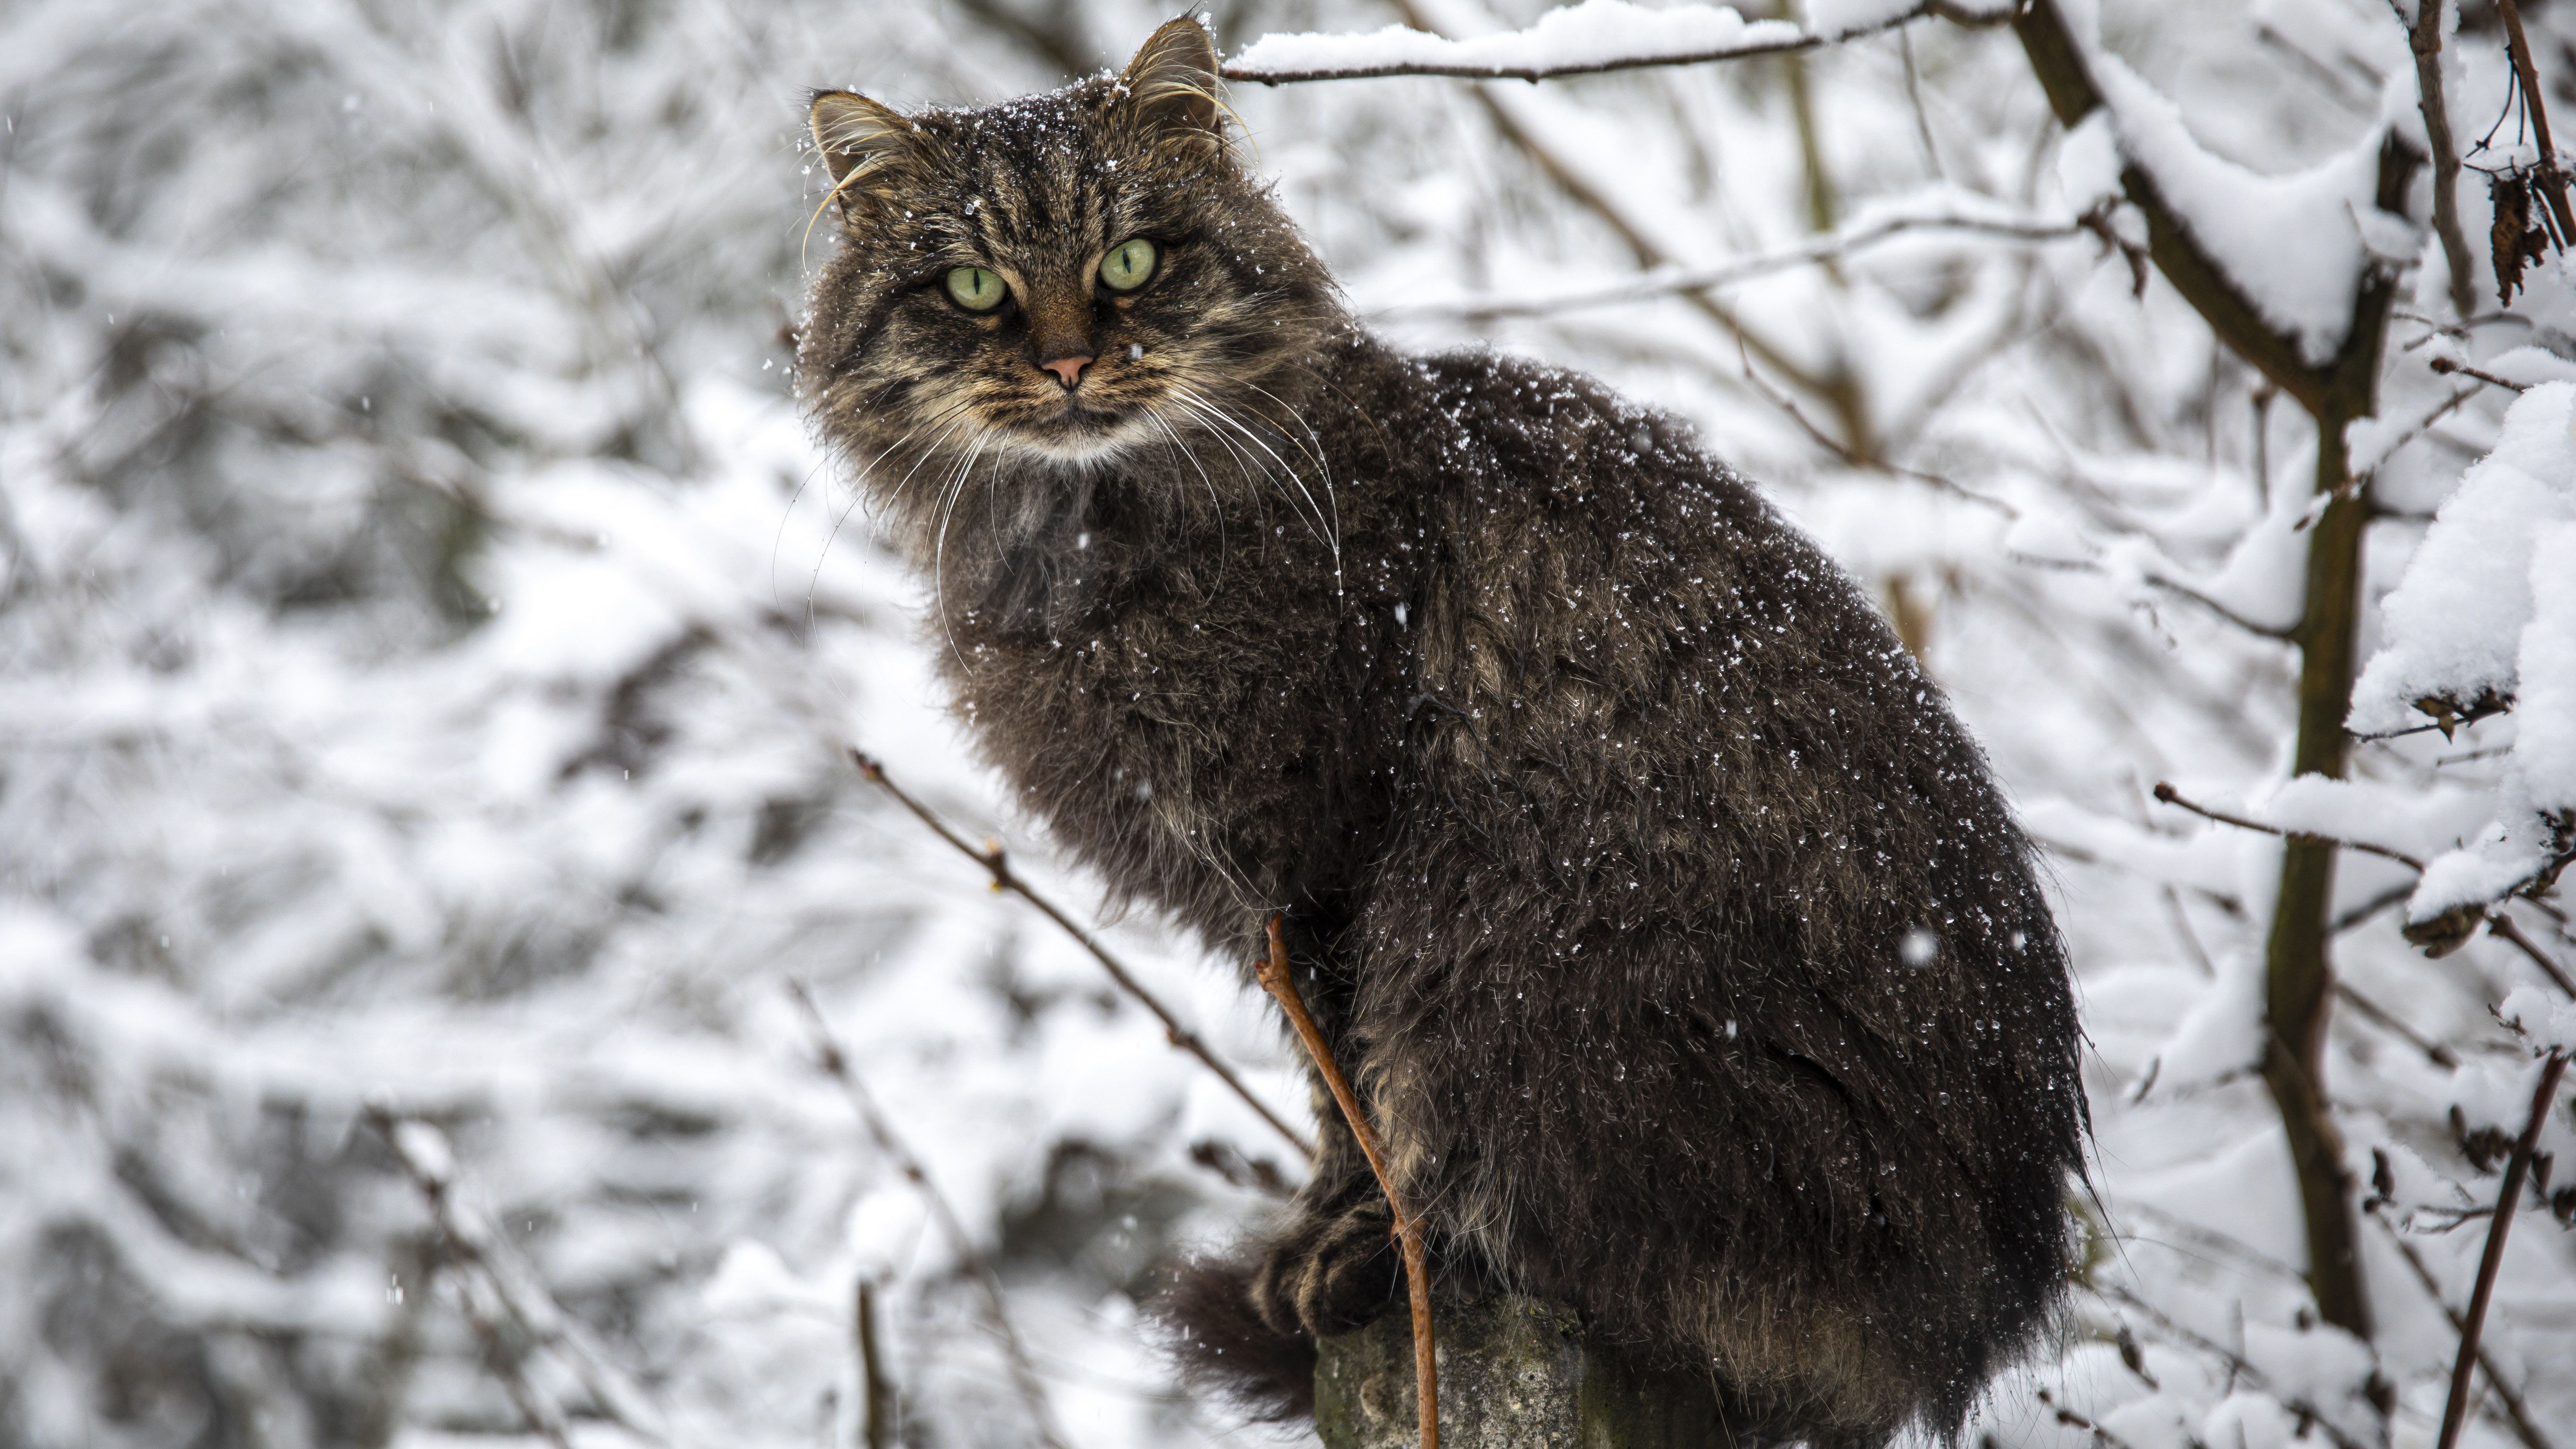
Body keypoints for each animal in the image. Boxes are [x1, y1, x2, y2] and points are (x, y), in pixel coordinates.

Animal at [798, 22, 2092, 1444]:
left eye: (1131, 260)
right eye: (971, 285)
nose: (1069, 361)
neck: (1076, 547)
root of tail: (1960, 1333)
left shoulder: (1321, 860)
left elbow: (1349, 1101)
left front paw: (1344, 1239)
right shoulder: (1255, 898)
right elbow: (1334, 1094)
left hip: (1519, 943)